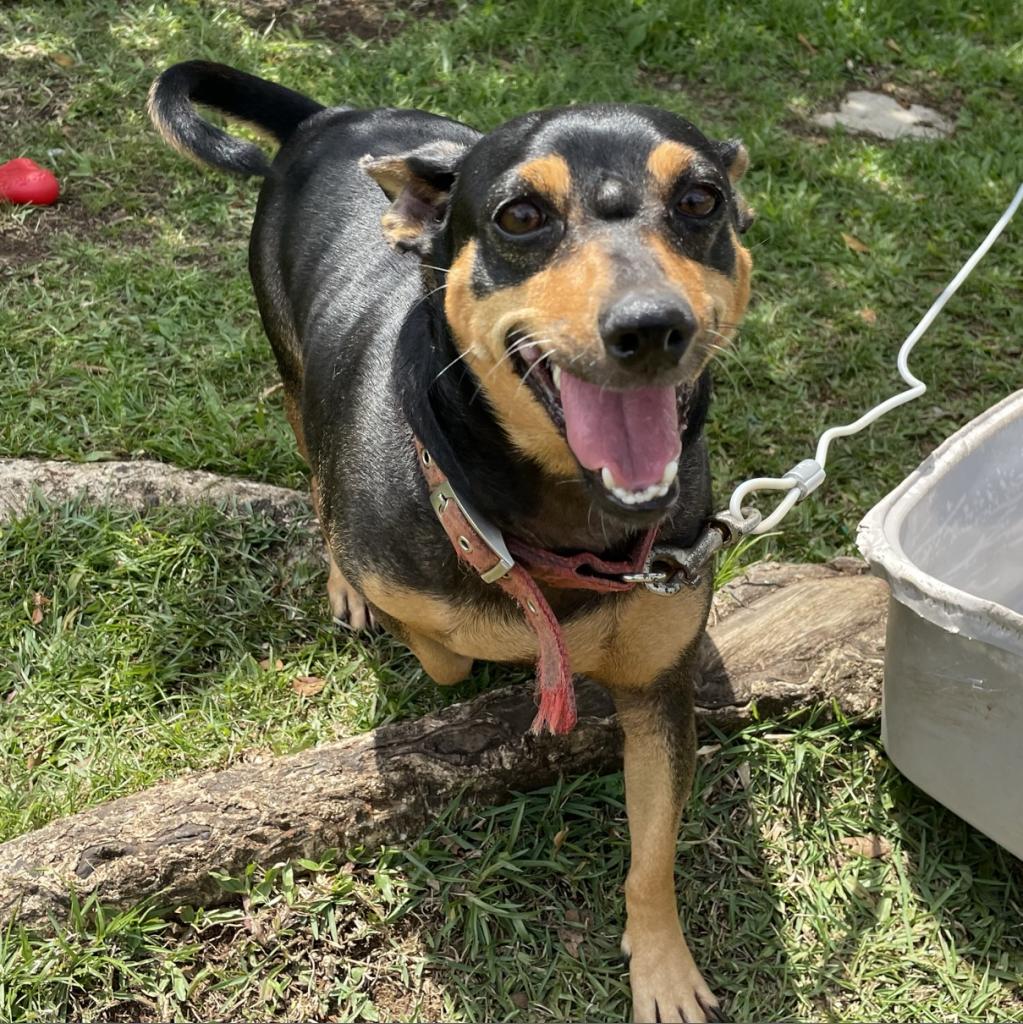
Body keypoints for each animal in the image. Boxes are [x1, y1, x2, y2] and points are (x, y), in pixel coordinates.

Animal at [149, 59, 753, 1019]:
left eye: (701, 200)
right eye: (520, 216)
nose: (652, 326)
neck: (559, 519)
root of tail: (333, 115)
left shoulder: (662, 684)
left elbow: (653, 851)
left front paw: (662, 968)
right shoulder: (421, 579)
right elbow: (447, 649)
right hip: (291, 368)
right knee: (311, 462)